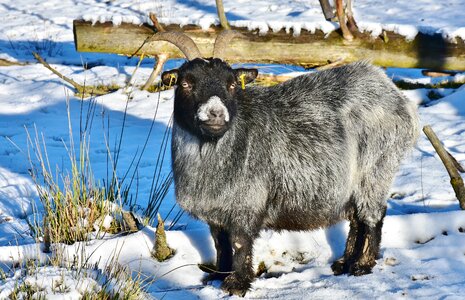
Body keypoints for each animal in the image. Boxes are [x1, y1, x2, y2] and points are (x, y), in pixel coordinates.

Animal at [154, 29, 418, 296]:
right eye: (186, 83)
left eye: (231, 84)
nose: (216, 114)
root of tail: (396, 94)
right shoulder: (216, 212)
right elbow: (220, 243)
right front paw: (218, 276)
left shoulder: (246, 204)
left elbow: (239, 243)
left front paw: (237, 284)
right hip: (353, 184)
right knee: (356, 219)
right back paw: (344, 263)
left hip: (376, 168)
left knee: (373, 216)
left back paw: (362, 265)